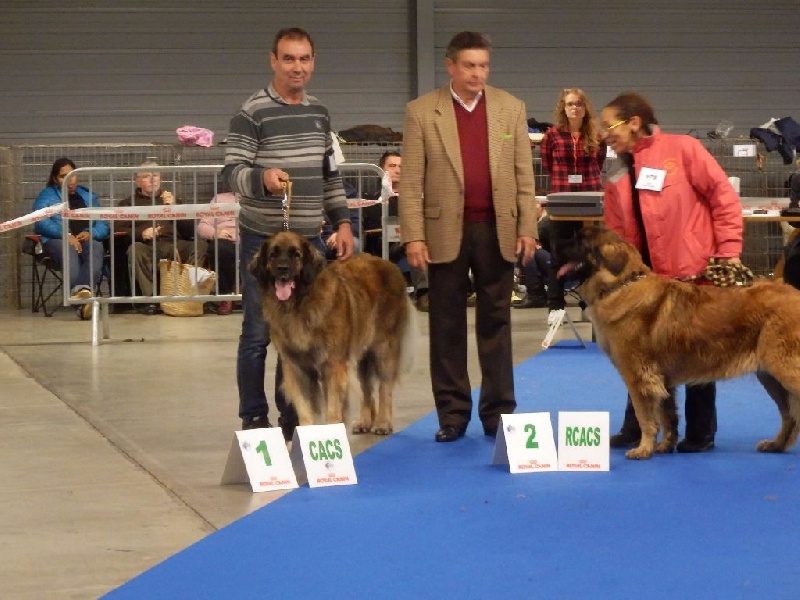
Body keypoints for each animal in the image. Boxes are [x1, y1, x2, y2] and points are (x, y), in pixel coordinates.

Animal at [250, 231, 416, 435]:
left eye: (296, 254)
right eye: (273, 254)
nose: (282, 269)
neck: (299, 305)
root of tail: (389, 264)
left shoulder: (333, 365)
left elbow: (333, 408)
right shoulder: (296, 368)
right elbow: (304, 408)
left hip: (384, 348)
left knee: (385, 387)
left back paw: (383, 423)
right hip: (362, 355)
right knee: (367, 387)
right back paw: (365, 421)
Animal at [558, 226, 800, 460]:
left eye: (579, 241)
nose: (553, 246)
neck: (622, 284)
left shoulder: (638, 376)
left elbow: (645, 417)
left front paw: (643, 449)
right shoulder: (663, 379)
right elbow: (667, 416)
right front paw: (664, 446)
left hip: (783, 367)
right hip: (769, 375)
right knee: (789, 415)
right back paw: (775, 445)